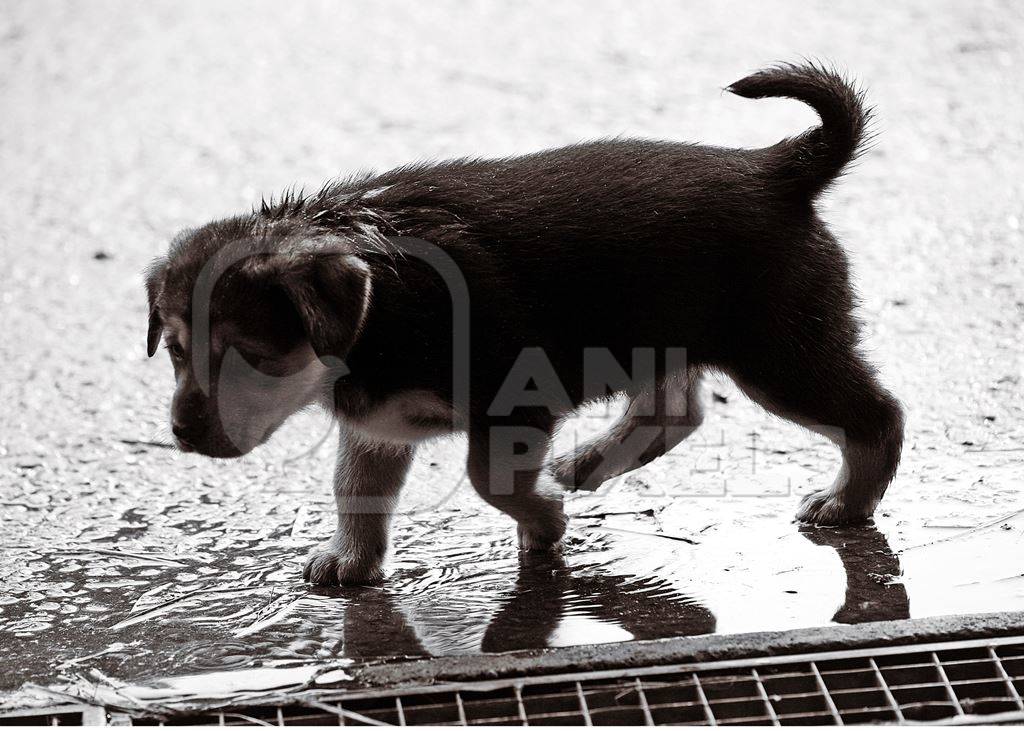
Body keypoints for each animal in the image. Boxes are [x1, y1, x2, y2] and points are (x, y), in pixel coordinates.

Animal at [146, 63, 905, 585]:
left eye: (250, 354)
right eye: (176, 353)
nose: (182, 433)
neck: (379, 304)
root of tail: (779, 169)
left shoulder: (513, 402)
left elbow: (490, 479)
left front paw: (544, 520)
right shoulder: (378, 424)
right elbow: (355, 490)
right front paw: (350, 563)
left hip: (781, 352)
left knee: (878, 415)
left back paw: (846, 502)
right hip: (661, 331)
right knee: (676, 409)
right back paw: (589, 462)